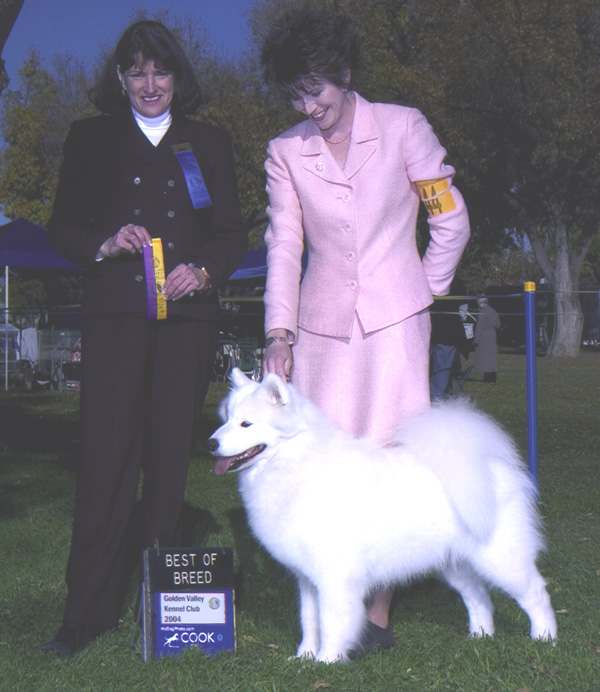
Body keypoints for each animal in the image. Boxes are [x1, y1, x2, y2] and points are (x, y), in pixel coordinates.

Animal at [209, 370, 556, 664]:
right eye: (225, 419)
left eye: (246, 424)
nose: (211, 442)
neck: (297, 463)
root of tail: (493, 465)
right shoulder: (306, 580)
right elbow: (309, 620)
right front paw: (304, 657)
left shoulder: (335, 579)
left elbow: (331, 622)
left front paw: (326, 661)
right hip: (454, 564)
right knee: (480, 598)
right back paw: (480, 636)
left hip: (501, 560)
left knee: (536, 592)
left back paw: (544, 638)